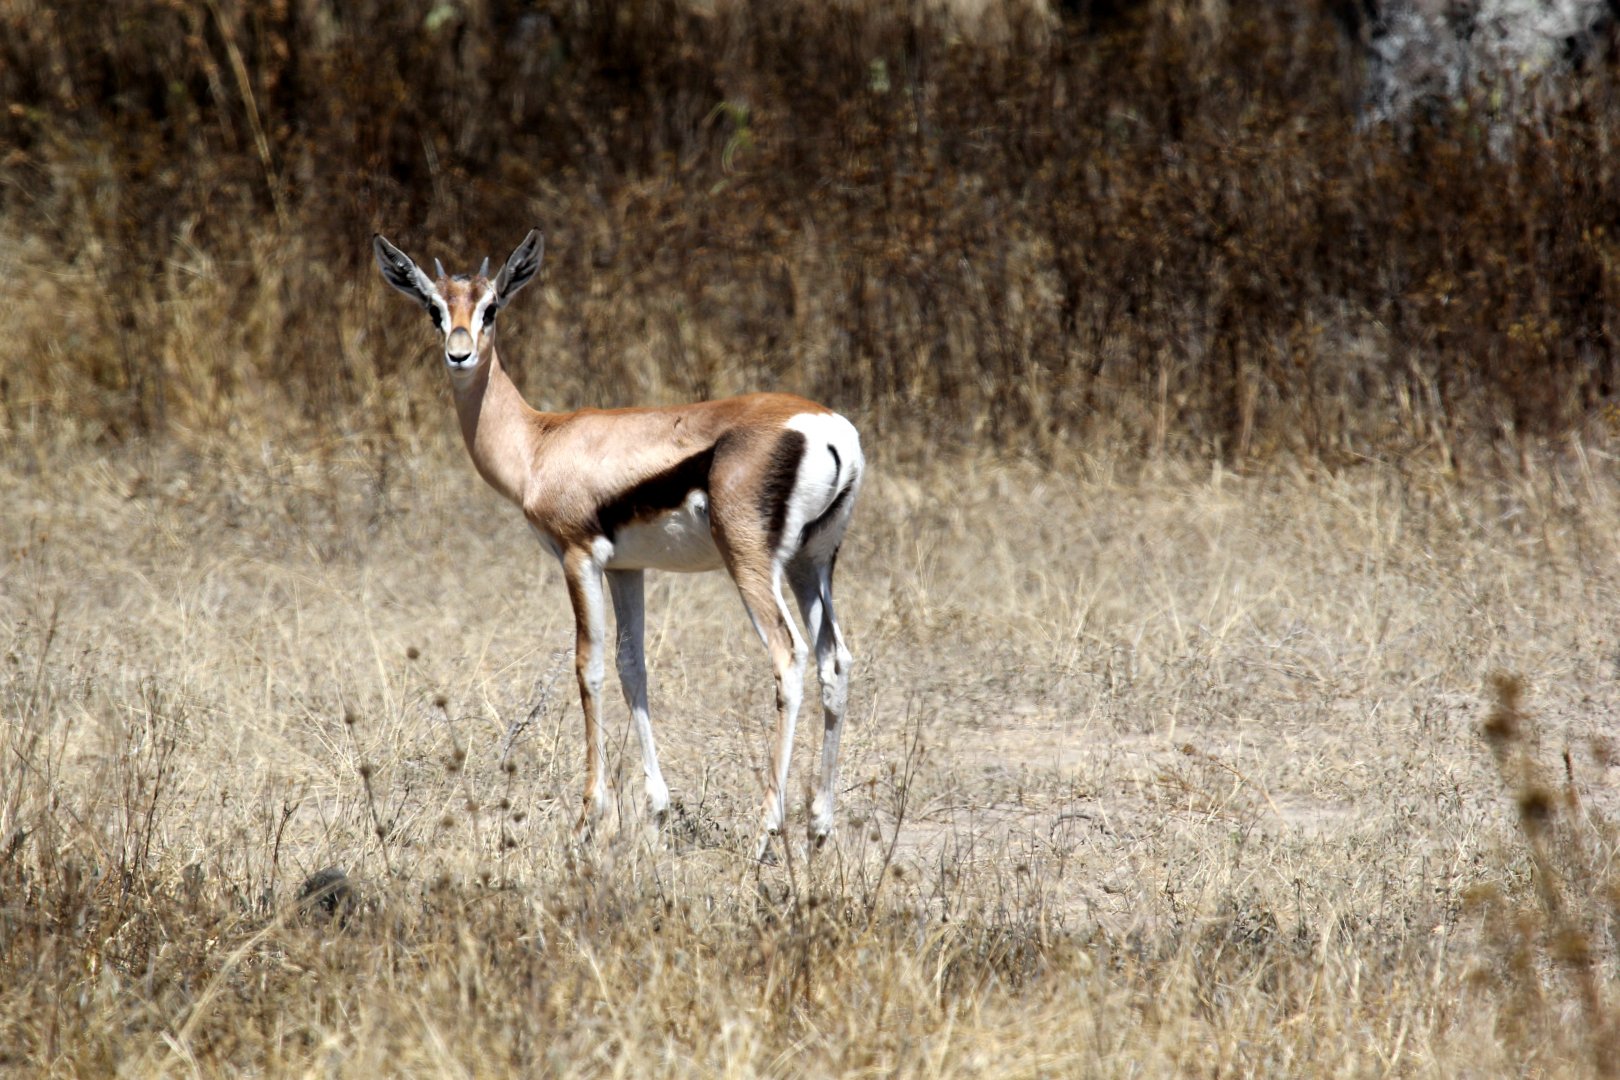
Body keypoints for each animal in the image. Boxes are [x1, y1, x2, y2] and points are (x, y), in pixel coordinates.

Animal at [373, 229, 863, 859]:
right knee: (835, 661)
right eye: (435, 309)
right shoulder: (627, 569)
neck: (539, 442)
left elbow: (590, 667)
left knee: (789, 655)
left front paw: (588, 818)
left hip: (752, 563)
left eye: (492, 308)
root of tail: (828, 428)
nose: (459, 354)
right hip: (812, 563)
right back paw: (820, 827)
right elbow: (634, 666)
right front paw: (656, 810)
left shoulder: (578, 557)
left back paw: (766, 831)